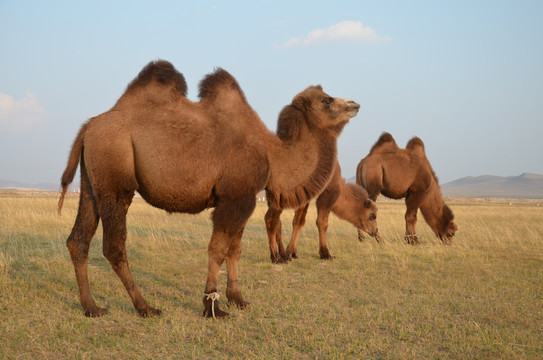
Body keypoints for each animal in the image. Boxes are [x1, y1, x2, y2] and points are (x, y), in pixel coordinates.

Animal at [58, 60, 362, 320]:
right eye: (327, 100)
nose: (355, 104)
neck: (272, 153)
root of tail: (87, 128)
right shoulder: (234, 198)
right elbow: (217, 249)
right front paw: (211, 306)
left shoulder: (245, 198)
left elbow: (234, 250)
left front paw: (237, 298)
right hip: (115, 179)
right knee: (114, 245)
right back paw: (145, 307)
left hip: (91, 183)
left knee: (78, 239)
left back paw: (91, 307)